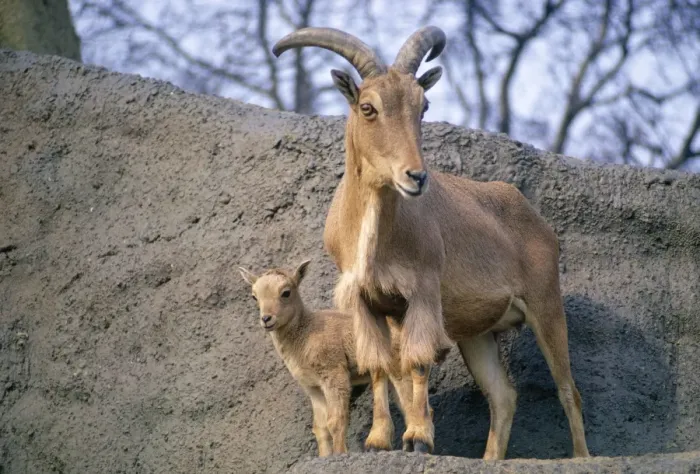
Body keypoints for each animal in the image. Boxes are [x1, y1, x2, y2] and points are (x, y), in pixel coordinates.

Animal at [238, 260, 429, 456]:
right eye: (254, 296)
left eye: (286, 292)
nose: (266, 319)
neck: (305, 336)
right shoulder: (313, 388)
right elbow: (320, 427)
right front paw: (324, 455)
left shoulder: (334, 375)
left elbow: (336, 420)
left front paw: (339, 453)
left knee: (411, 402)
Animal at [272, 26, 590, 459]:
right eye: (368, 107)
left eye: (422, 105)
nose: (416, 176)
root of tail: (538, 222)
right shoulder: (367, 302)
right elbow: (381, 366)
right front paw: (379, 440)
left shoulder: (421, 291)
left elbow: (418, 362)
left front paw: (419, 438)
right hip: (477, 332)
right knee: (503, 395)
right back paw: (489, 458)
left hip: (546, 301)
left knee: (568, 389)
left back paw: (583, 456)